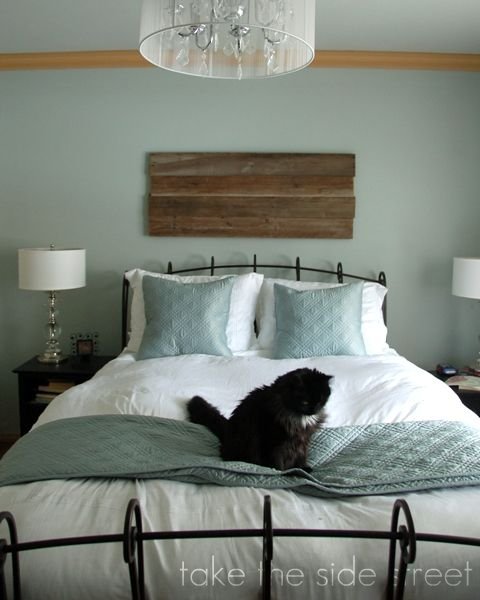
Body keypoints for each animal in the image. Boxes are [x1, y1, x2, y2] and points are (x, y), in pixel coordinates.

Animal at [187, 368, 332, 472]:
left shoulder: (302, 440)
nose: (314, 410)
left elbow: (301, 456)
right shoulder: (273, 440)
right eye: (305, 402)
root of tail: (227, 431)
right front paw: (281, 472)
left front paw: (303, 468)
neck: (297, 418)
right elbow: (277, 461)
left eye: (320, 400)